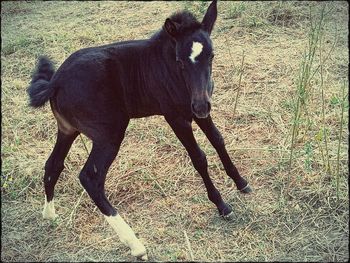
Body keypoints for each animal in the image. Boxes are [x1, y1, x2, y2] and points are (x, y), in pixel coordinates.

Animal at [27, 0, 252, 260]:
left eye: (211, 56)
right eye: (179, 61)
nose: (200, 105)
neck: (166, 64)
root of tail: (56, 81)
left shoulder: (198, 112)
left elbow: (218, 139)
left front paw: (241, 182)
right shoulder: (176, 118)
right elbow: (199, 157)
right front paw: (222, 205)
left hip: (67, 129)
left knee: (53, 165)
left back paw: (50, 215)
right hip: (109, 134)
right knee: (90, 178)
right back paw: (136, 245)